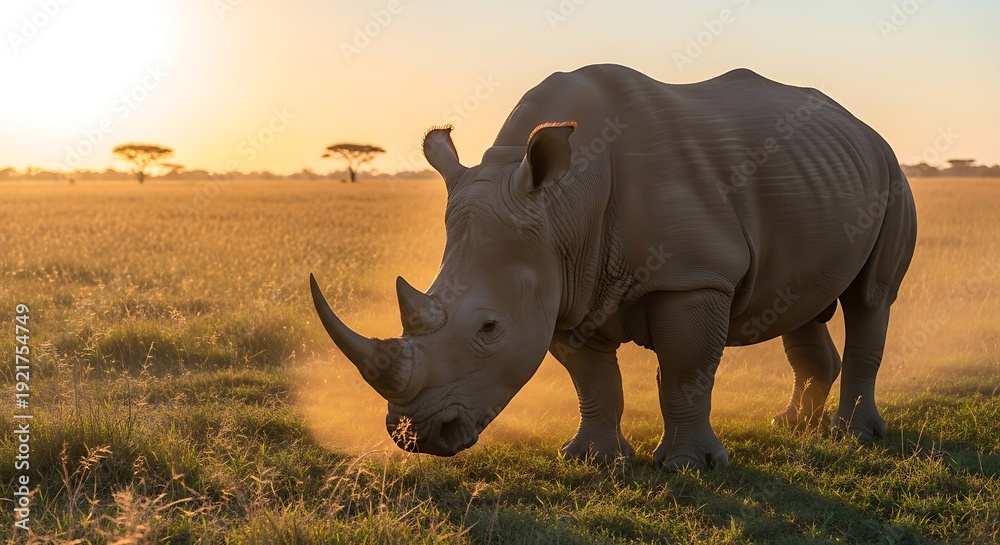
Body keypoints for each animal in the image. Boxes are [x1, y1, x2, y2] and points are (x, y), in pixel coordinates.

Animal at [310, 64, 917, 470]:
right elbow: (593, 379)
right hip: (829, 176)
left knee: (871, 297)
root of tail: (859, 125)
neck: (561, 202)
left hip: (890, 170)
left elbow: (685, 371)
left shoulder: (694, 276)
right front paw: (591, 461)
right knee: (803, 301)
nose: (416, 436)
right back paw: (793, 425)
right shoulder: (562, 282)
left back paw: (855, 436)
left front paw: (688, 467)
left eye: (489, 327)